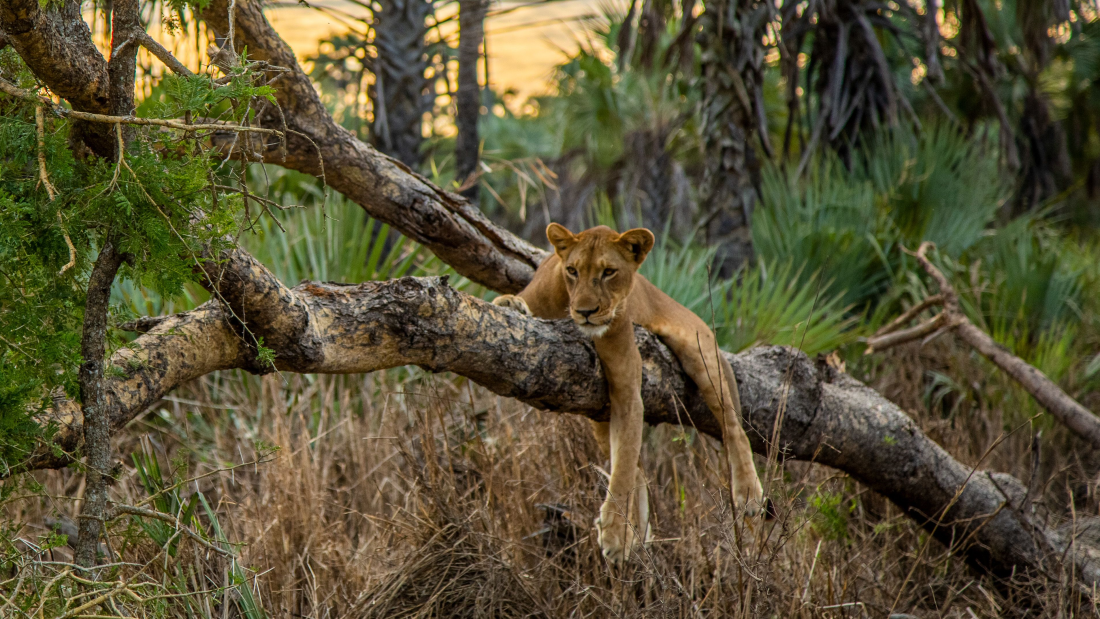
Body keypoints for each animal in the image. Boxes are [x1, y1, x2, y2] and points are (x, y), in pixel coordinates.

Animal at [495, 225, 761, 562]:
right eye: (572, 271)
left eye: (609, 272)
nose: (585, 312)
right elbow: (626, 462)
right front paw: (509, 303)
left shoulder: (627, 386)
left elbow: (622, 467)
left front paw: (615, 535)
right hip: (597, 414)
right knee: (639, 468)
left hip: (699, 350)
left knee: (732, 425)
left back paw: (749, 493)